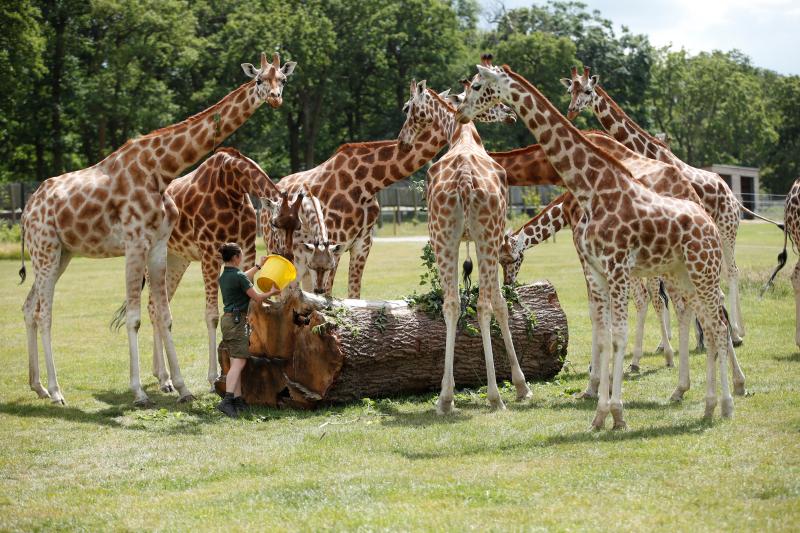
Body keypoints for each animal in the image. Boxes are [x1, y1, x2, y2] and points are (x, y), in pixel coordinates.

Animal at [18, 53, 296, 404]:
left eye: (282, 79)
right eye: (259, 79)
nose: (275, 98)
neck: (161, 169)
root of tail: (26, 210)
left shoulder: (159, 246)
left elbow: (164, 315)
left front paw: (181, 387)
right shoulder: (136, 244)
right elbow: (136, 318)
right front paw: (140, 391)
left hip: (61, 254)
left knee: (30, 307)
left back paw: (38, 385)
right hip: (45, 249)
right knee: (44, 313)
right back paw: (56, 391)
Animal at [262, 93, 512, 298]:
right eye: (470, 95)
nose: (509, 112)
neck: (367, 183)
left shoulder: (362, 244)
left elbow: (353, 296)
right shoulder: (334, 242)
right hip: (278, 248)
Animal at [400, 80, 532, 412]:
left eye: (407, 108)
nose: (403, 140)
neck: (462, 135)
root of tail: (464, 181)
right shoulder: (494, 239)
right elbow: (500, 303)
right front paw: (521, 386)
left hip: (442, 237)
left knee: (452, 303)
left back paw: (446, 398)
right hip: (485, 235)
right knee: (483, 304)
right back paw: (495, 396)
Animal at [460, 63, 740, 428]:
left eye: (477, 86)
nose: (460, 109)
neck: (588, 186)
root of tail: (704, 211)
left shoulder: (612, 264)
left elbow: (615, 329)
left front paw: (612, 406)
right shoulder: (599, 265)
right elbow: (605, 329)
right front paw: (599, 406)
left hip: (709, 260)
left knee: (718, 313)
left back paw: (727, 395)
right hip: (681, 271)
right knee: (704, 317)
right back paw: (705, 399)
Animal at [564, 65, 784, 344]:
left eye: (587, 91)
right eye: (570, 90)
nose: (571, 111)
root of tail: (734, 197)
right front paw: (672, 340)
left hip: (728, 227)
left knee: (732, 271)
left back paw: (737, 332)